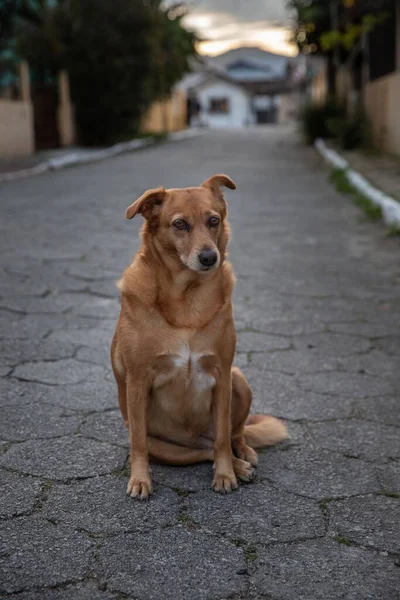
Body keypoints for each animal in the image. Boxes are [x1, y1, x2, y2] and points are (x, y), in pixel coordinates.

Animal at [110, 176, 288, 500]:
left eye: (213, 220)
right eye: (180, 224)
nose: (209, 257)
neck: (187, 299)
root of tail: (195, 438)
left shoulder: (221, 374)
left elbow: (222, 438)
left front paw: (225, 475)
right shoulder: (138, 381)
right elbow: (138, 444)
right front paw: (140, 480)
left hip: (239, 380)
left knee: (231, 435)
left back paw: (242, 458)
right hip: (168, 448)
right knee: (202, 451)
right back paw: (238, 465)